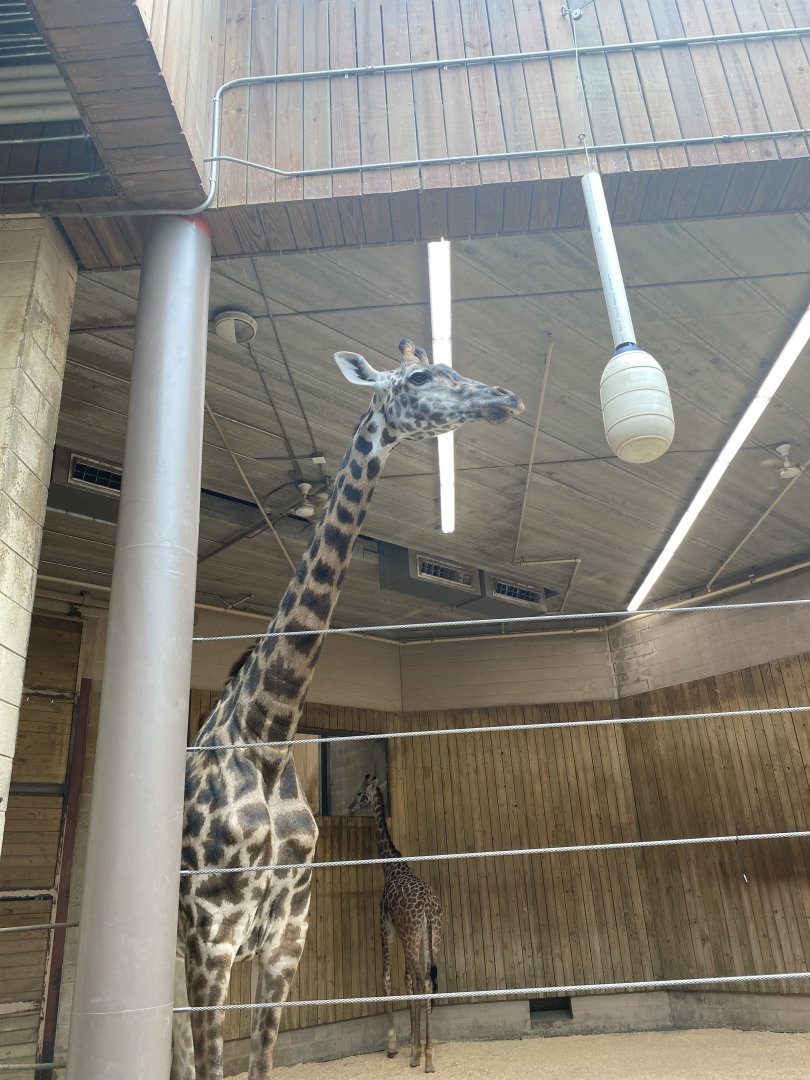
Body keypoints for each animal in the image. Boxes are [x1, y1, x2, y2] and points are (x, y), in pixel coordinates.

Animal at [349, 774, 444, 1072]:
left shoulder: (386, 925)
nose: (350, 807)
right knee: (427, 982)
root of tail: (428, 909)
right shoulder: (406, 934)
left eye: (360, 793)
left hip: (413, 936)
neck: (390, 865)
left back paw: (423, 1057)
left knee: (423, 983)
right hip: (433, 939)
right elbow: (407, 981)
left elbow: (388, 977)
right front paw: (412, 1039)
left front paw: (394, 1045)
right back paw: (426, 1052)